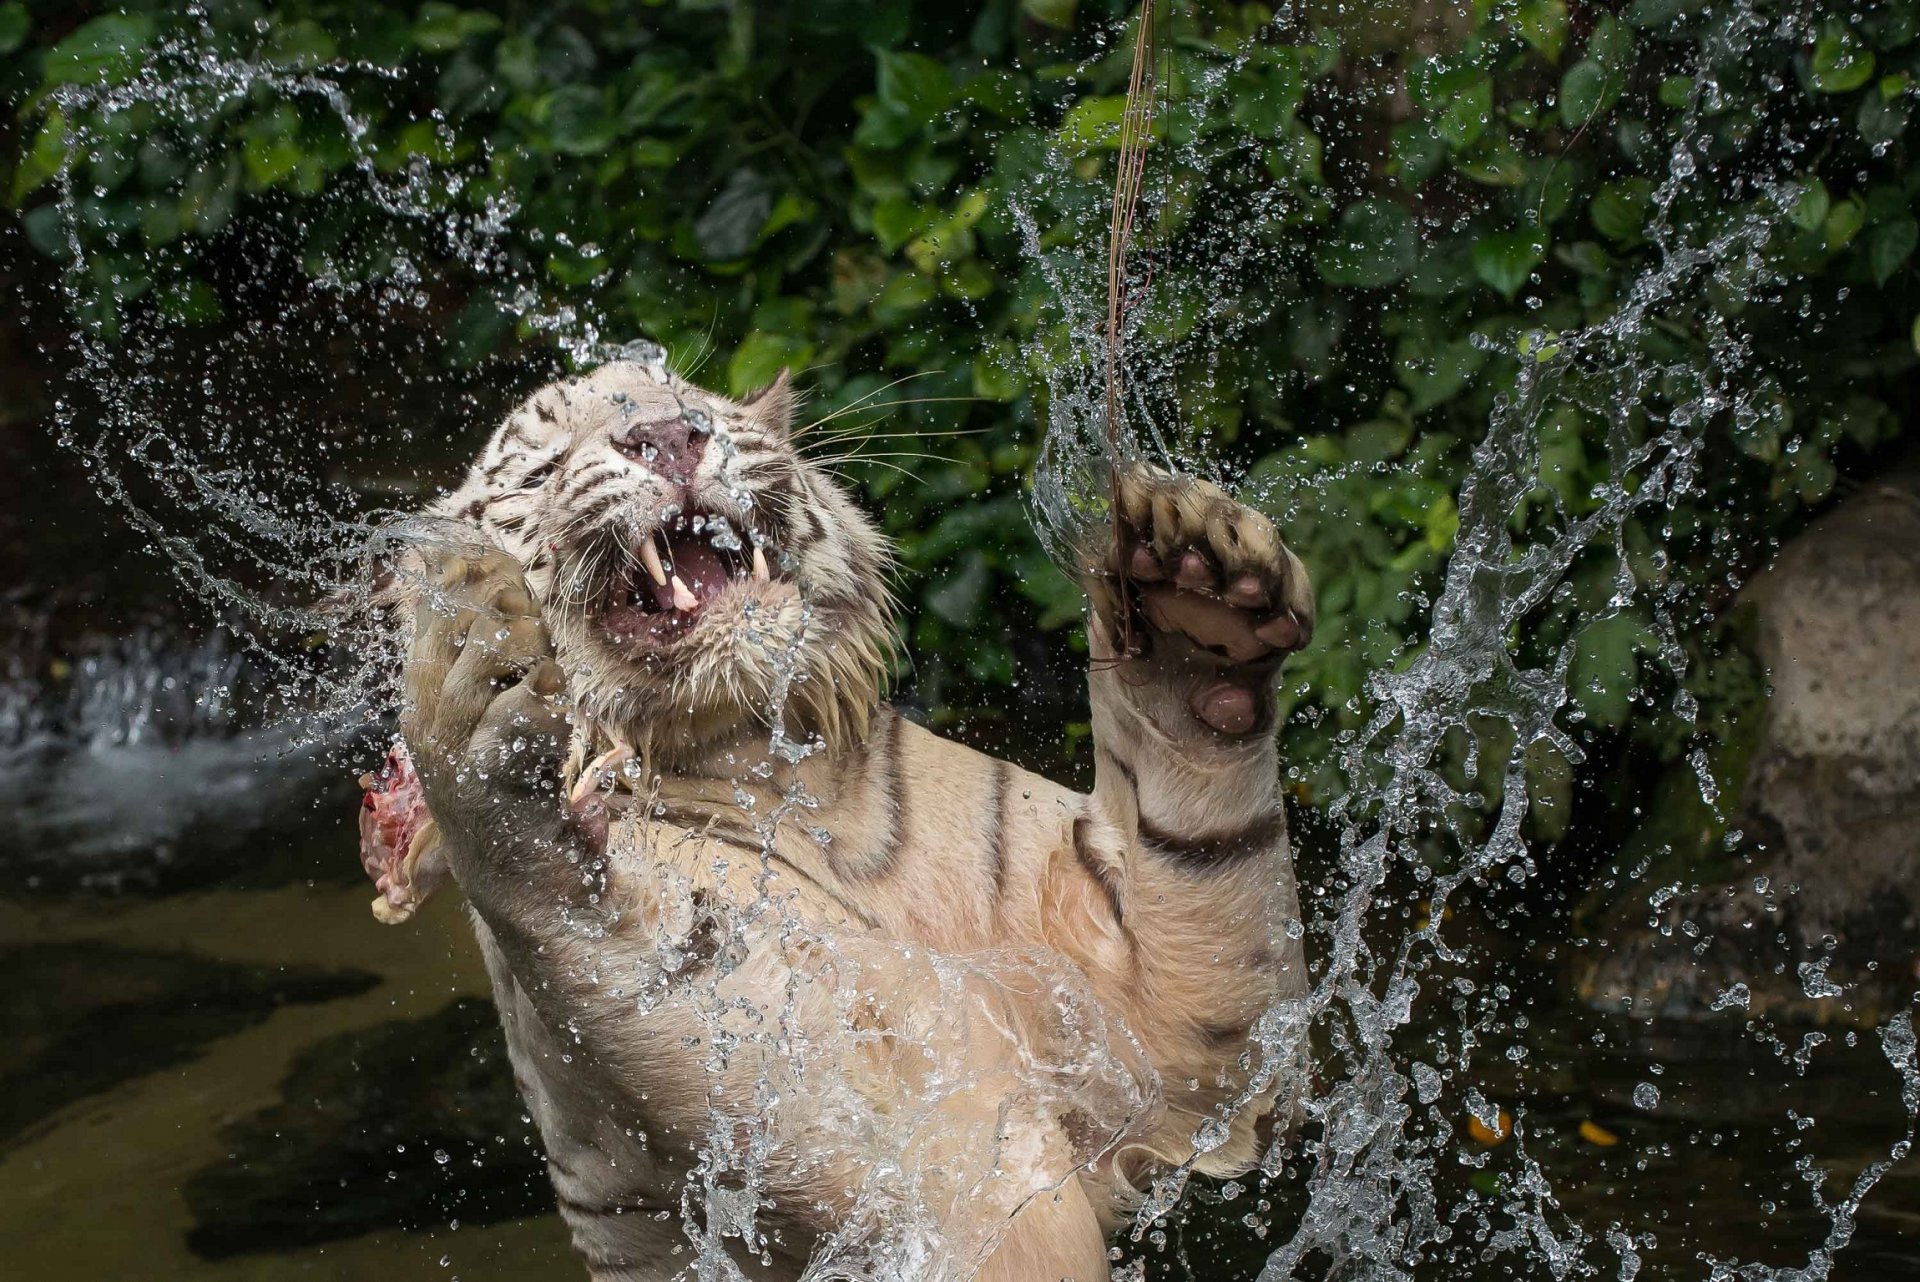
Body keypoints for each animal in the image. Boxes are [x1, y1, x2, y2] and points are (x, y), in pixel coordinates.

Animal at [362, 348, 1315, 1282]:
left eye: (689, 403)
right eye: (545, 464)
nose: (667, 437)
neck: (795, 788)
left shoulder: (1152, 1054)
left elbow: (1215, 899)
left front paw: (1194, 605)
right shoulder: (821, 1111)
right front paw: (475, 675)